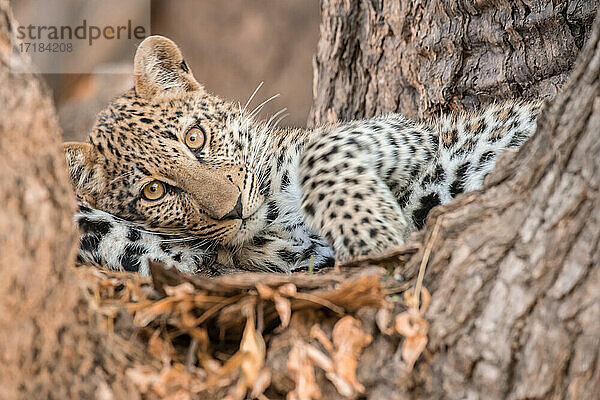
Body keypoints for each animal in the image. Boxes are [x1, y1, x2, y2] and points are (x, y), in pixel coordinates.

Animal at [63, 36, 540, 276]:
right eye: (154, 192)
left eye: (195, 138)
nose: (233, 208)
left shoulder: (403, 130)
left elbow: (321, 149)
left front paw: (376, 233)